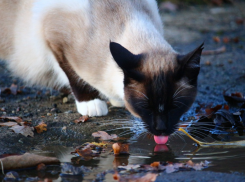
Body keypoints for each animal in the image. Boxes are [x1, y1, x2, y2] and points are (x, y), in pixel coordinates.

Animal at [0, 0, 203, 136]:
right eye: (145, 107)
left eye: (175, 106)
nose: (161, 130)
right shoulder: (55, 39)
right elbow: (73, 75)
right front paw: (91, 103)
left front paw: (116, 99)